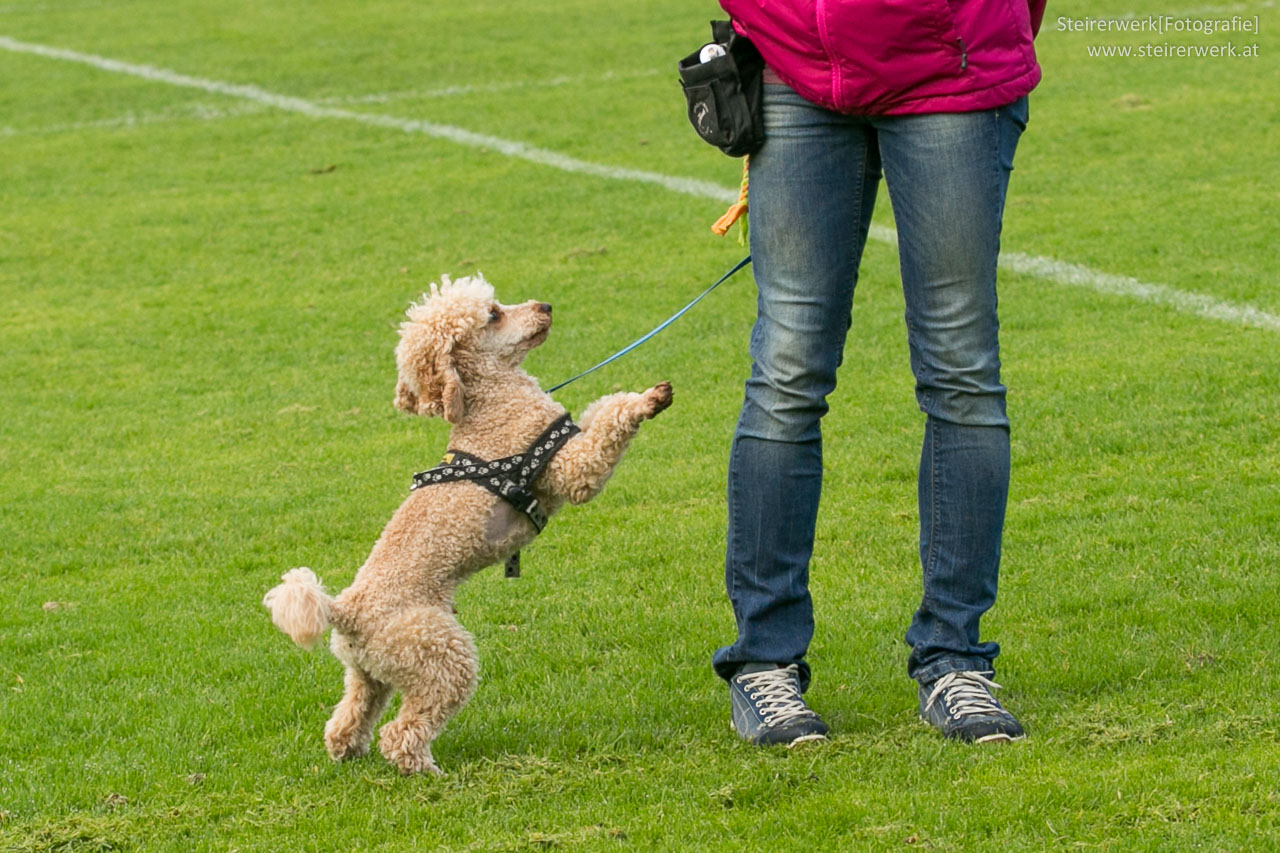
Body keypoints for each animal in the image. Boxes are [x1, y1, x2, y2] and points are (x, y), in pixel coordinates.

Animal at [264, 275, 675, 773]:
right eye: (494, 314)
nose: (546, 305)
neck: (491, 397)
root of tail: (345, 611)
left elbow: (603, 407)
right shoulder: (571, 468)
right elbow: (608, 428)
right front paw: (648, 401)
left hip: (369, 670)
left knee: (350, 714)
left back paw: (347, 750)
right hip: (440, 652)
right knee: (402, 729)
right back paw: (424, 769)